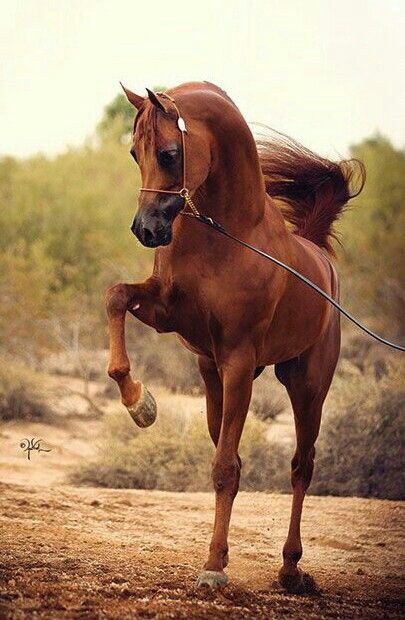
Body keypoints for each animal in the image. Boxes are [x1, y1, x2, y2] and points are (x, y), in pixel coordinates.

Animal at [105, 82, 362, 592]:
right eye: (133, 152)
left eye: (168, 154)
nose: (146, 230)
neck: (227, 236)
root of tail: (321, 259)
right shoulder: (169, 314)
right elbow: (116, 297)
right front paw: (139, 402)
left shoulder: (238, 360)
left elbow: (225, 469)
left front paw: (213, 567)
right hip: (214, 381)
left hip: (305, 387)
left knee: (301, 466)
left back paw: (290, 568)